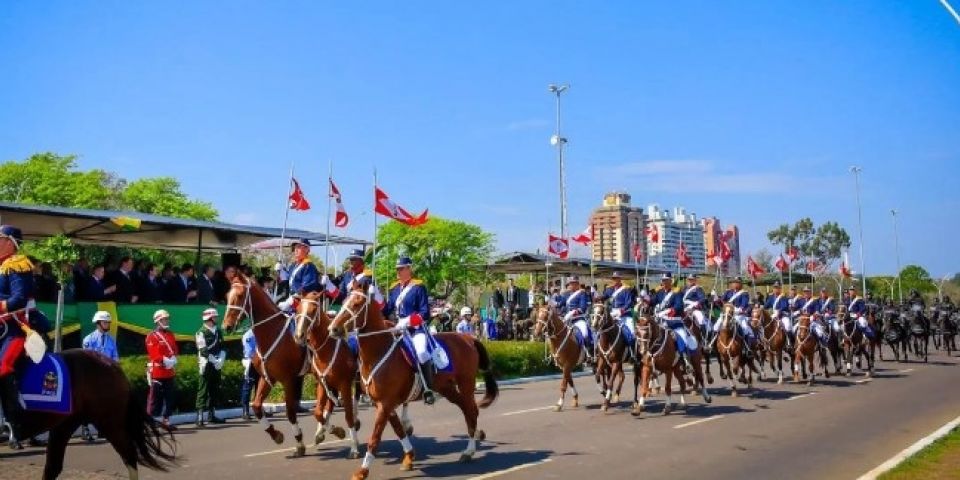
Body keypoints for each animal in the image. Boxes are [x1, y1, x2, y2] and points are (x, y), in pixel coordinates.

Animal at [221, 274, 318, 458]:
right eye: (227, 295)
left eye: (240, 295)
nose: (226, 326)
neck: (271, 332)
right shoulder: (267, 378)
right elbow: (257, 406)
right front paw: (276, 434)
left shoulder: (288, 380)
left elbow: (290, 412)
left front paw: (299, 442)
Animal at [290, 288, 362, 458]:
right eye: (298, 309)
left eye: (313, 310)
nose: (299, 335)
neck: (326, 349)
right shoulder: (322, 384)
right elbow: (318, 412)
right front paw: (333, 431)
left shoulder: (344, 384)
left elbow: (348, 415)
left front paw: (354, 447)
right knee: (330, 405)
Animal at [326, 284, 498, 478]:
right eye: (344, 301)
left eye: (356, 304)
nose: (333, 329)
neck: (378, 351)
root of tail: (469, 338)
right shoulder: (382, 403)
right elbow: (398, 429)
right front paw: (409, 457)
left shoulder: (385, 403)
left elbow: (375, 438)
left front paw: (362, 471)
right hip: (449, 389)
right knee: (466, 410)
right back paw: (473, 442)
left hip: (466, 385)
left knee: (471, 411)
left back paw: (469, 450)